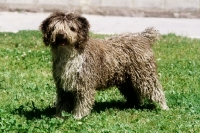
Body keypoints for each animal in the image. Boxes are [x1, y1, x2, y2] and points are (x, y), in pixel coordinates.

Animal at [39, 11, 168, 119]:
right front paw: (59, 116)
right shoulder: (63, 86)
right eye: (55, 27)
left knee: (156, 90)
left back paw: (164, 107)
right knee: (133, 94)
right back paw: (130, 105)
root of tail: (142, 36)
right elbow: (62, 103)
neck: (69, 55)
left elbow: (82, 102)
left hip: (145, 76)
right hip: (126, 80)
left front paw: (78, 116)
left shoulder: (84, 85)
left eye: (72, 28)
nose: (61, 34)